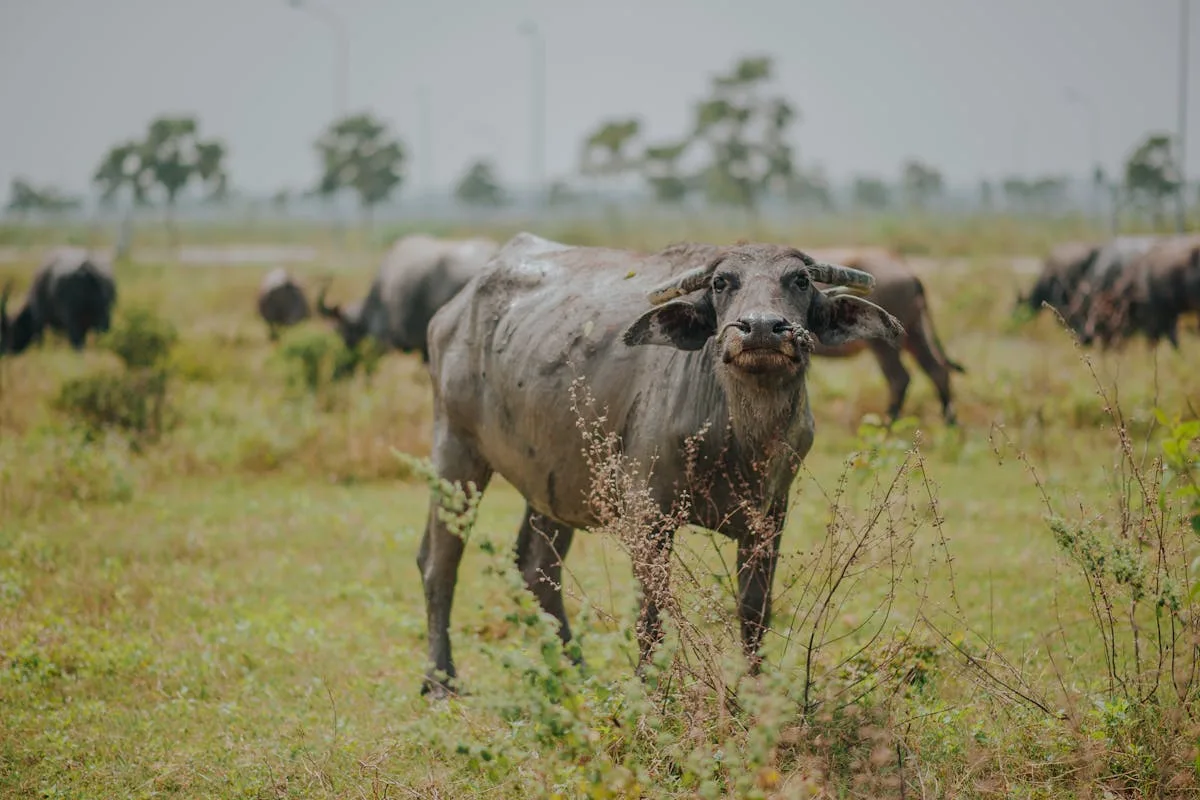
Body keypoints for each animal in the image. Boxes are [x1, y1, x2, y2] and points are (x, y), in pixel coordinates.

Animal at [417, 231, 902, 695]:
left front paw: (755, 690)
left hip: (554, 482)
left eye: (799, 280)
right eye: (722, 283)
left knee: (536, 568)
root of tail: (451, 314)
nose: (762, 328)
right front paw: (650, 690)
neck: (738, 436)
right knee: (440, 563)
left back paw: (577, 672)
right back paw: (441, 681)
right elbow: (652, 613)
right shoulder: (647, 514)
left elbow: (754, 611)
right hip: (456, 453)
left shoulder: (769, 516)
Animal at [801, 247, 960, 424]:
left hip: (883, 343)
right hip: (914, 332)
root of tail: (908, 270)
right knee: (937, 369)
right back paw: (949, 423)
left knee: (899, 378)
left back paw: (889, 424)